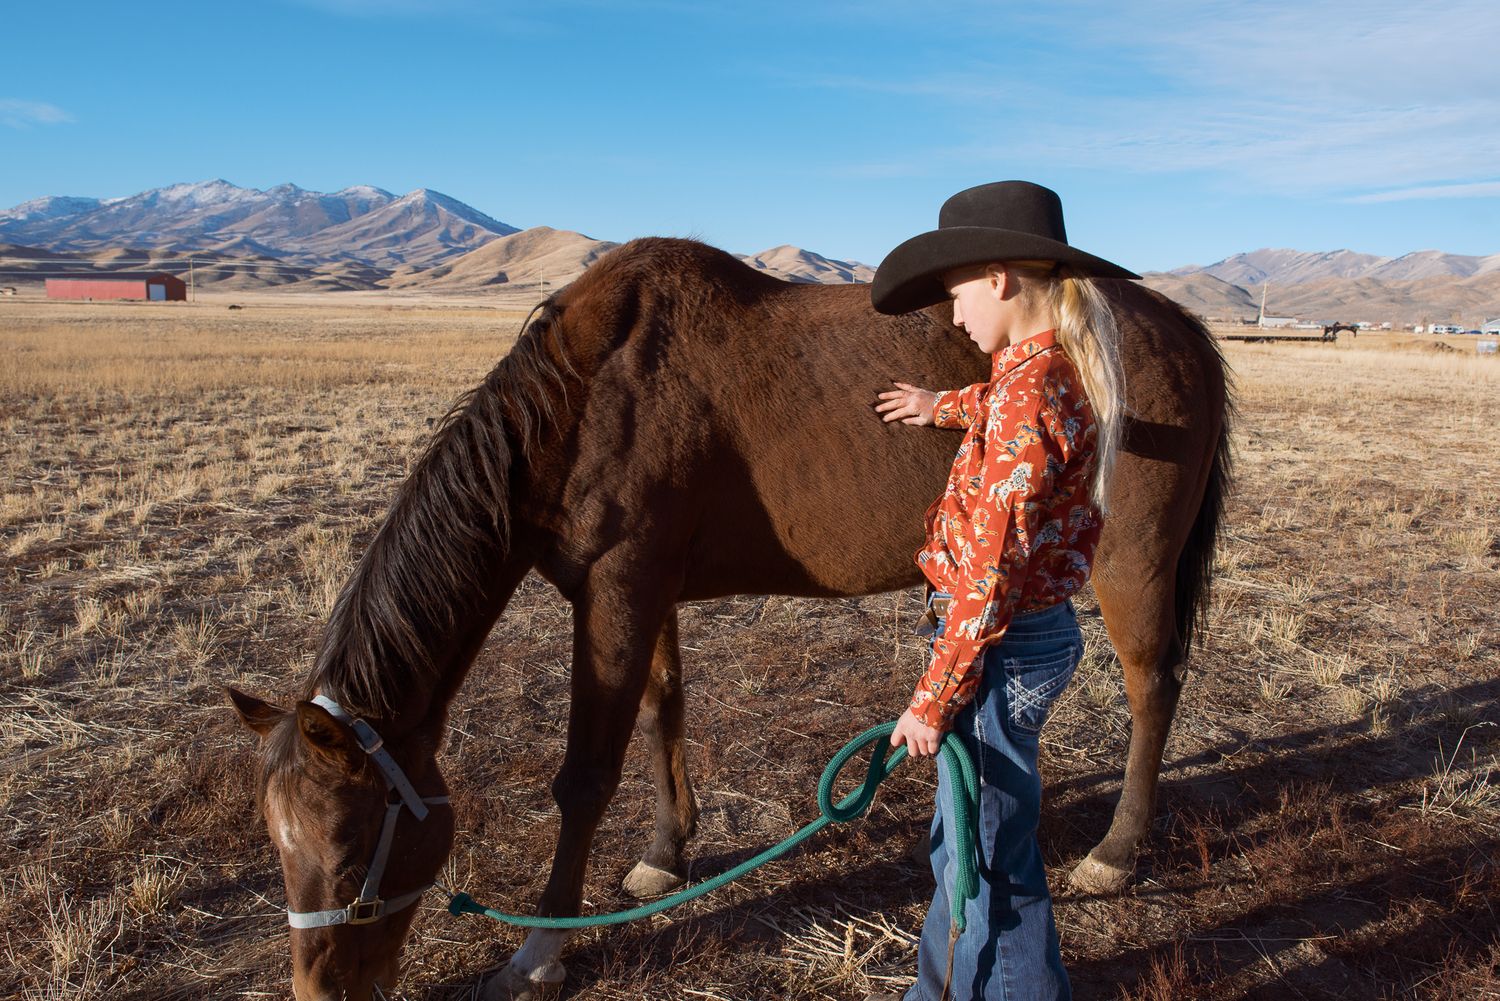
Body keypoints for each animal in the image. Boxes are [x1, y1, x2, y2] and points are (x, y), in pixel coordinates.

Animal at [228, 236, 1230, 1000]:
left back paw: (1117, 849)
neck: (581, 402)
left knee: (1153, 686)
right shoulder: (644, 591)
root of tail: (1178, 325)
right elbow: (663, 712)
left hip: (1131, 569)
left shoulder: (620, 589)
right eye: (277, 843)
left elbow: (584, 777)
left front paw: (541, 947)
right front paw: (666, 855)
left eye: (352, 845)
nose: (317, 990)